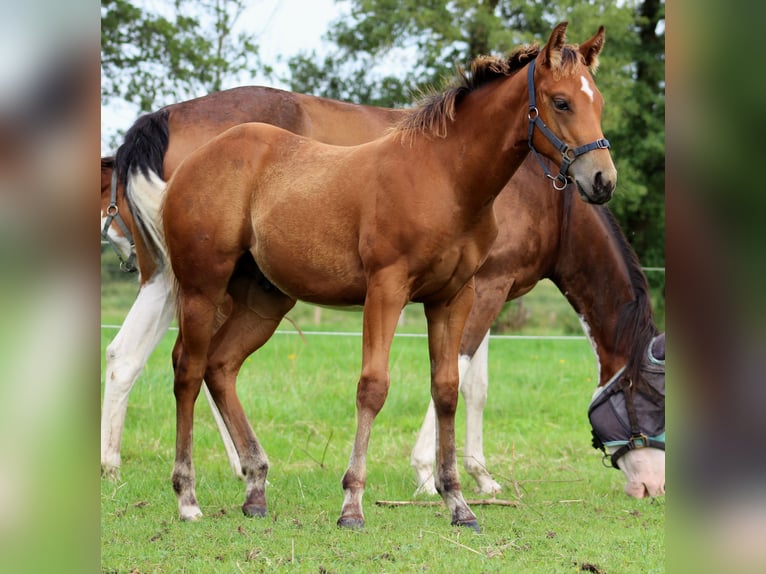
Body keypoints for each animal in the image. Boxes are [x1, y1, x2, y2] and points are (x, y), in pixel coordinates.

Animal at [124, 25, 616, 532]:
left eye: (597, 101)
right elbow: (373, 387)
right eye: (561, 102)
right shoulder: (387, 289)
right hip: (202, 288)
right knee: (187, 369)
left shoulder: (454, 297)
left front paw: (457, 503)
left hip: (265, 301)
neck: (446, 178)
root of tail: (190, 165)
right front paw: (352, 504)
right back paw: (187, 497)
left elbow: (447, 389)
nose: (603, 180)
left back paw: (256, 487)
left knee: (221, 367)